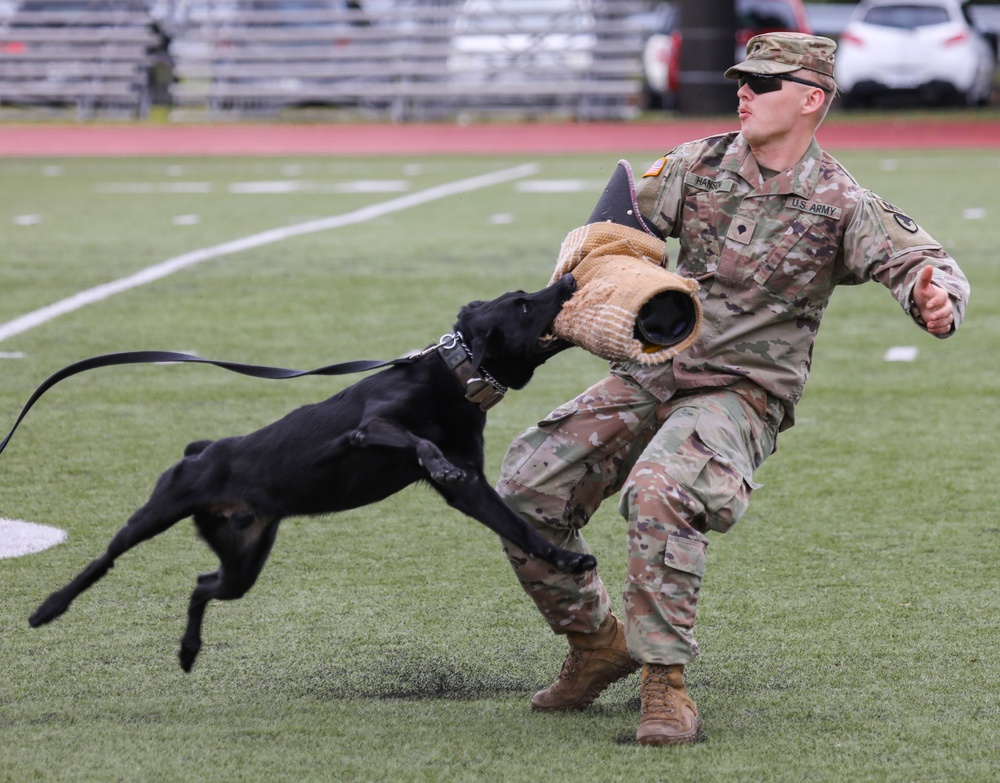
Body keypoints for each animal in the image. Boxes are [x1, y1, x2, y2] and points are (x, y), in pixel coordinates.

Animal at [29, 274, 592, 668]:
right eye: (523, 304)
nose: (569, 281)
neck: (455, 378)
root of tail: (202, 450)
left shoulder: (472, 489)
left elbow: (517, 527)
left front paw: (566, 560)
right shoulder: (370, 428)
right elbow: (416, 440)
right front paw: (431, 456)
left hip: (243, 558)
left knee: (202, 585)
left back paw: (189, 652)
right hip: (156, 513)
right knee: (102, 562)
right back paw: (48, 609)